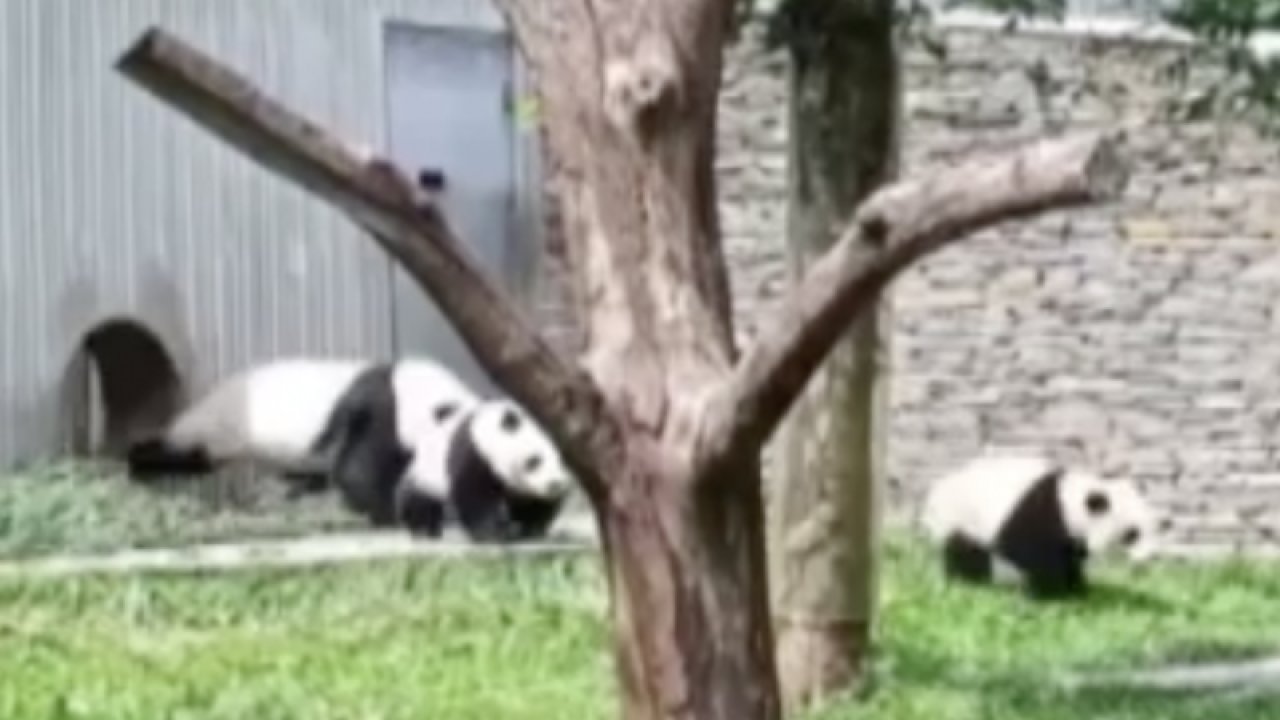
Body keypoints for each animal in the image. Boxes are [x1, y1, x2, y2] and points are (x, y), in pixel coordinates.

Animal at [394, 398, 575, 543]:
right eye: (534, 460)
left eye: (563, 461)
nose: (554, 484)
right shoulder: (475, 451)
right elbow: (474, 495)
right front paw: (493, 533)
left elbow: (535, 504)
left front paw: (530, 530)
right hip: (427, 471)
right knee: (417, 499)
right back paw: (423, 530)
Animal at [919, 452, 1164, 600]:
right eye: (1131, 535)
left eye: (1155, 527)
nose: (1151, 558)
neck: (1069, 501)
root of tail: (934, 493)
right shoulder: (1039, 514)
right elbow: (1032, 553)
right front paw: (1053, 593)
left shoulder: (1069, 534)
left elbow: (1070, 557)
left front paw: (1077, 588)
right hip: (960, 516)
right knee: (964, 552)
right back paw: (970, 583)